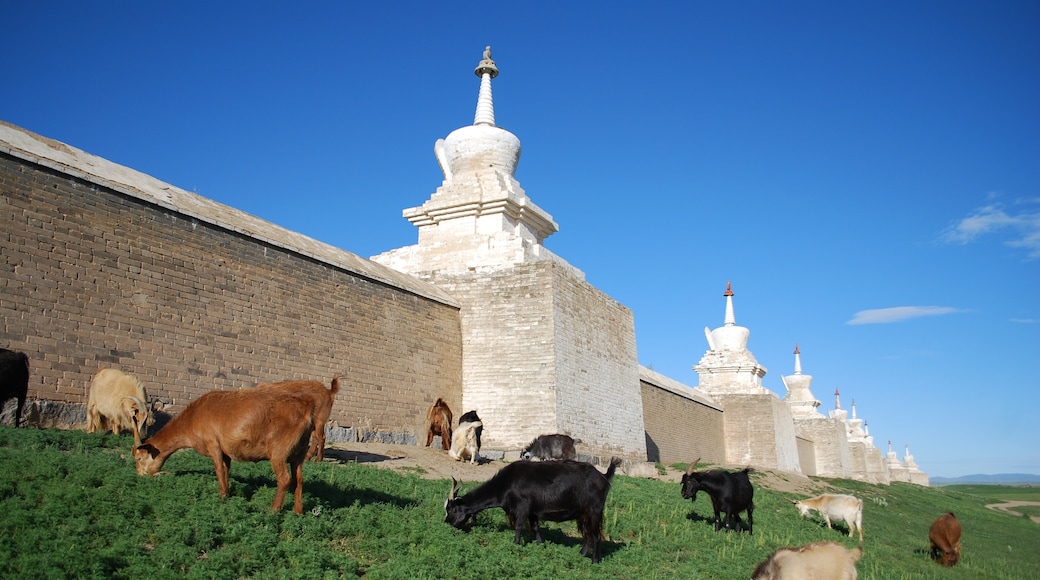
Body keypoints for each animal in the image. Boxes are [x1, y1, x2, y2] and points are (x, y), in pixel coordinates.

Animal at [134, 388, 322, 515]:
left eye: (138, 458)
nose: (141, 476)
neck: (192, 419)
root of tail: (306, 408)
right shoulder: (226, 451)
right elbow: (226, 470)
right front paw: (228, 493)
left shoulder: (213, 444)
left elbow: (218, 470)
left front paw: (222, 496)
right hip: (298, 454)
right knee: (299, 480)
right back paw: (298, 512)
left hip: (279, 451)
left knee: (284, 479)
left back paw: (273, 510)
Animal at [445, 459, 619, 565]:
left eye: (451, 509)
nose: (446, 523)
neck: (505, 484)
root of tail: (603, 476)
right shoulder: (533, 511)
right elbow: (535, 528)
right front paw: (540, 544)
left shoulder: (523, 507)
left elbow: (519, 526)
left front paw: (515, 545)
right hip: (583, 514)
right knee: (587, 534)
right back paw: (581, 554)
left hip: (594, 510)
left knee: (595, 535)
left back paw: (595, 561)